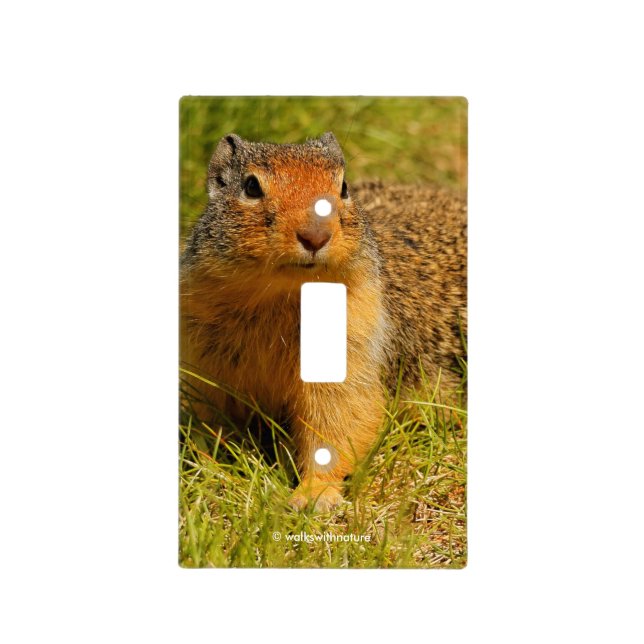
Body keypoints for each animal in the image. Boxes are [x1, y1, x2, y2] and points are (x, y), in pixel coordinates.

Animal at [180, 132, 467, 512]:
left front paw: (313, 496)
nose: (315, 236)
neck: (279, 295)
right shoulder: (204, 358)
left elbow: (338, 425)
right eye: (251, 186)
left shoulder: (350, 352)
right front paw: (209, 470)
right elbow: (210, 421)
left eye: (343, 187)